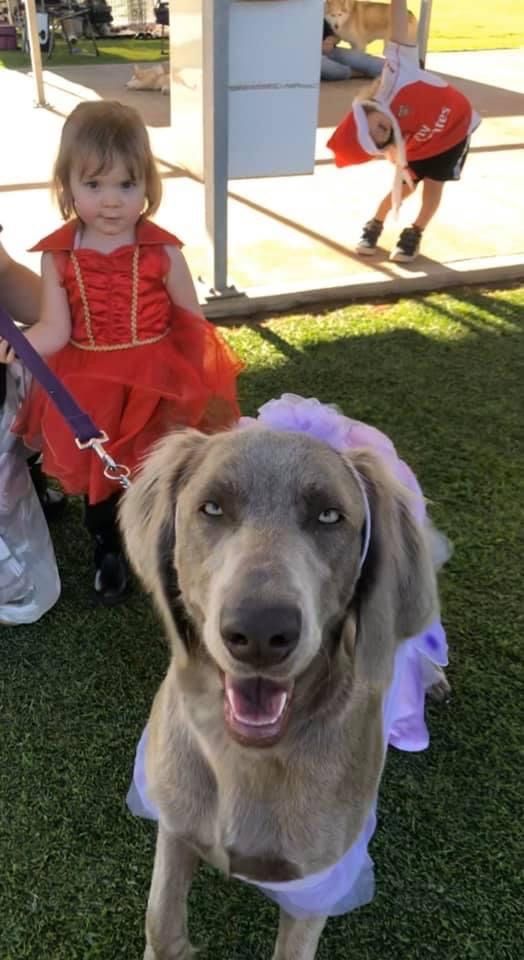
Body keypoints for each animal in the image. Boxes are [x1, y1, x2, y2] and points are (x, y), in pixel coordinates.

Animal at [121, 402, 449, 960]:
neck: (245, 759)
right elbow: (162, 925)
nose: (259, 631)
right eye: (212, 508)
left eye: (329, 516)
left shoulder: (317, 885)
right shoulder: (177, 822)